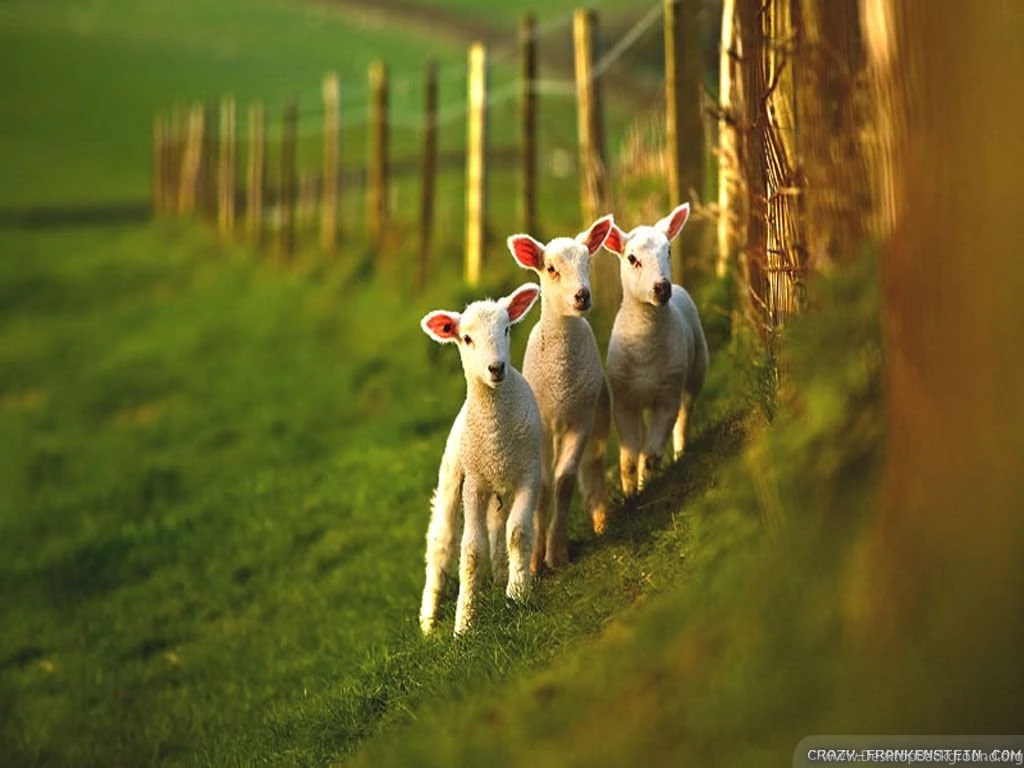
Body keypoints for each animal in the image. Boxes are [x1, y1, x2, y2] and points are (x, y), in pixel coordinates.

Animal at [418, 283, 543, 636]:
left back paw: (502, 576)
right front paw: (464, 624)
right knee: (442, 543)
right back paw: (428, 619)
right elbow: (471, 551)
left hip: (501, 491)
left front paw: (517, 593)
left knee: (498, 532)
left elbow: (518, 533)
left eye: (506, 329)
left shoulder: (529, 475)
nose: (496, 368)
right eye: (466, 338)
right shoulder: (473, 485)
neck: (496, 435)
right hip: (452, 479)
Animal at [506, 215, 615, 571]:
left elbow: (564, 482)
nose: (583, 296)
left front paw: (557, 552)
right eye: (551, 268)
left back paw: (601, 519)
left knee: (592, 464)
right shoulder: (539, 426)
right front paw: (535, 559)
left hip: (598, 415)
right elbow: (542, 486)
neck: (561, 380)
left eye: (588, 261)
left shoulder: (580, 421)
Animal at [602, 203, 709, 495]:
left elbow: (650, 456)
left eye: (669, 251)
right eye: (631, 258)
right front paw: (630, 495)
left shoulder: (667, 397)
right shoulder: (623, 403)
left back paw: (681, 453)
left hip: (695, 373)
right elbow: (628, 460)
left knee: (685, 416)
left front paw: (645, 486)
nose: (662, 287)